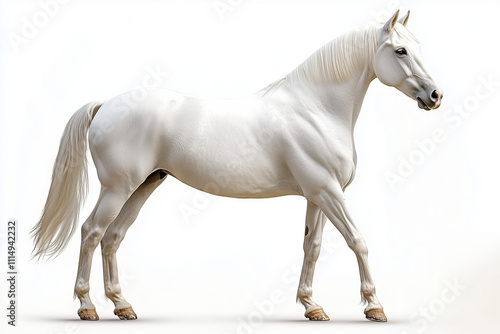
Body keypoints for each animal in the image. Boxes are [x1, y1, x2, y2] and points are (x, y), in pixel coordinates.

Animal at [32, 11, 442, 322]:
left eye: (419, 46)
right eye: (401, 50)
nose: (435, 95)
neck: (316, 109)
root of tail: (105, 105)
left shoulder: (318, 195)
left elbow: (312, 247)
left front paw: (312, 307)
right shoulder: (328, 192)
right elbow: (357, 241)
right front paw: (374, 307)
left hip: (144, 185)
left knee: (113, 237)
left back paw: (123, 306)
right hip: (117, 188)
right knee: (91, 233)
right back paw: (87, 307)